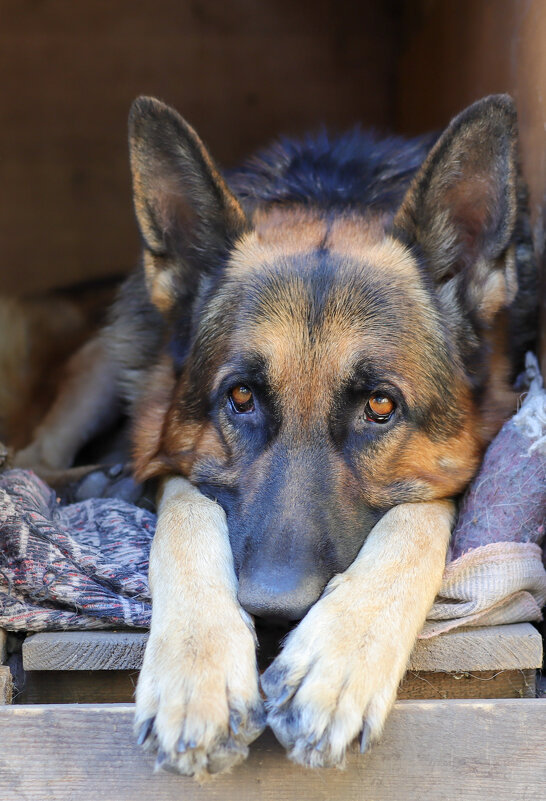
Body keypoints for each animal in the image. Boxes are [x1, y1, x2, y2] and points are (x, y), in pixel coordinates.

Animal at [13, 94, 536, 776]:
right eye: (241, 398)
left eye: (380, 405)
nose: (271, 615)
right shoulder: (172, 451)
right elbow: (185, 516)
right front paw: (196, 674)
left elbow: (417, 521)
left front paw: (339, 661)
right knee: (28, 455)